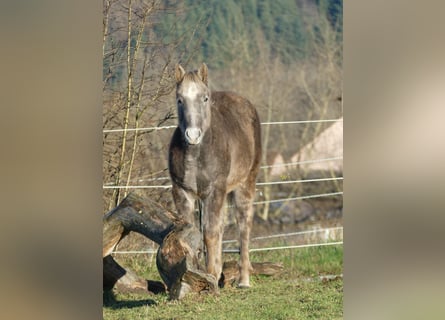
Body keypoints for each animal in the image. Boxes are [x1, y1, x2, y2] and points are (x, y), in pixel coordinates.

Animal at [168, 62, 262, 288]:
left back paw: (243, 280)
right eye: (179, 99)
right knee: (221, 226)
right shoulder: (182, 192)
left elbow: (210, 233)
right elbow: (192, 232)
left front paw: (210, 275)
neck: (196, 154)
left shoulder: (214, 191)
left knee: (243, 225)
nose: (193, 135)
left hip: (245, 184)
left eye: (205, 98)